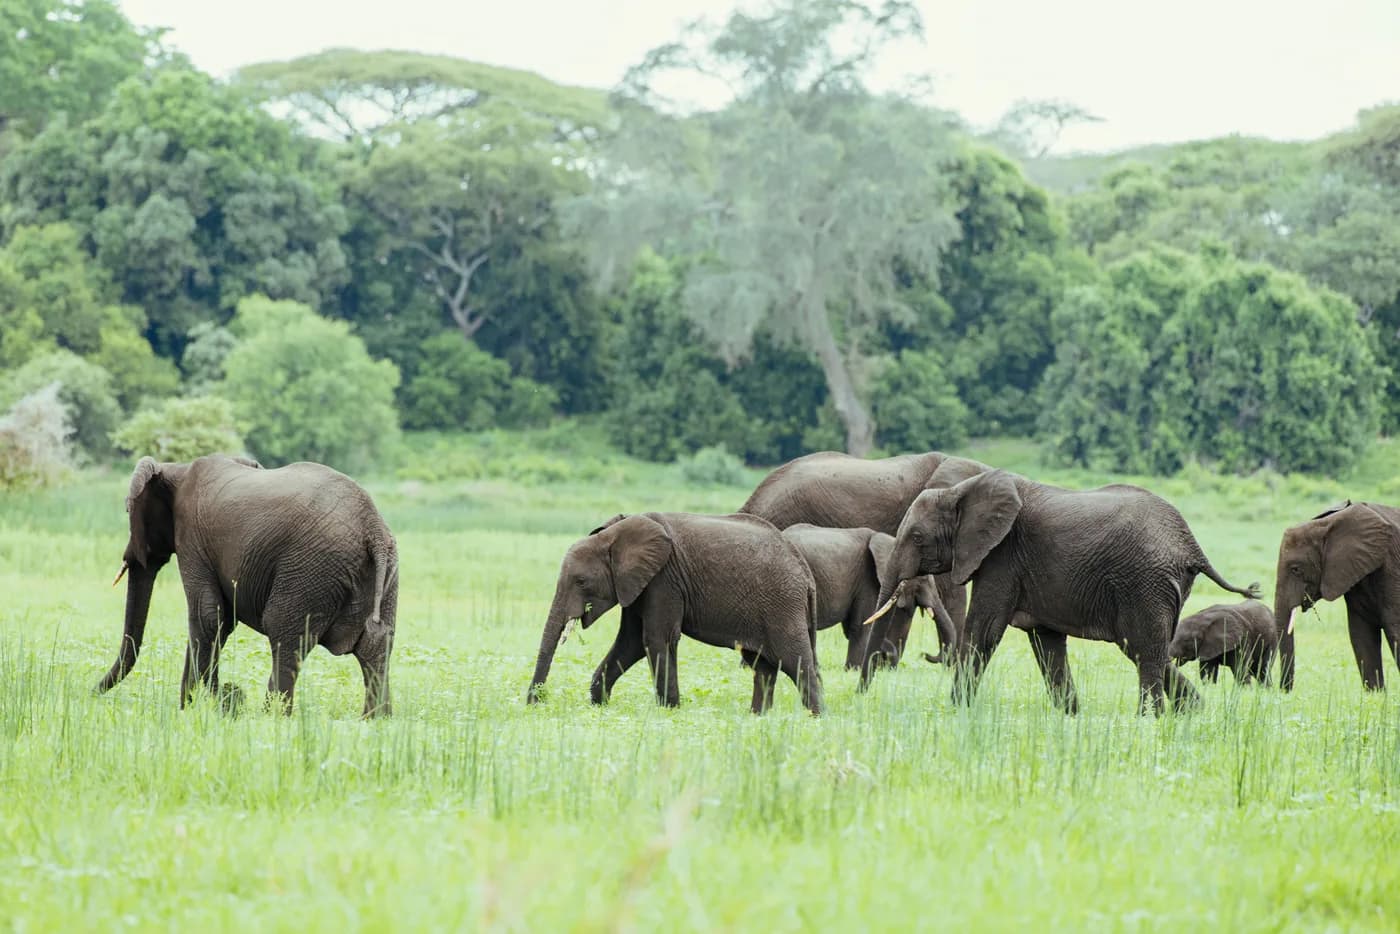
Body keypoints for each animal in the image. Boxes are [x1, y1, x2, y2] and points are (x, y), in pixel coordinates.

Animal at [95, 454, 398, 717]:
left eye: (128, 510)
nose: (91, 692)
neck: (176, 468)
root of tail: (372, 527)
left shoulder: (192, 538)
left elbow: (208, 618)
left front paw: (199, 709)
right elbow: (217, 621)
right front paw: (196, 708)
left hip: (312, 569)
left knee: (284, 635)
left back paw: (273, 718)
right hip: (383, 572)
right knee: (376, 644)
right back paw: (375, 720)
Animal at [527, 512, 823, 715]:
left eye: (580, 582)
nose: (536, 702)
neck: (615, 534)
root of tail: (806, 574)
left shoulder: (663, 579)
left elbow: (656, 639)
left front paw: (669, 711)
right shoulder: (639, 584)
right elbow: (630, 643)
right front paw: (599, 706)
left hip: (782, 606)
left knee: (796, 662)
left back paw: (817, 718)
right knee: (763, 667)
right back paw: (758, 717)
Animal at [778, 524, 953, 679]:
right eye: (923, 580)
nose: (924, 654)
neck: (892, 542)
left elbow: (853, 629)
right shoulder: (867, 580)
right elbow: (862, 627)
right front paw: (854, 670)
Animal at [875, 469, 1259, 714]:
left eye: (917, 538)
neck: (961, 491)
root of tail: (1192, 546)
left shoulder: (1002, 557)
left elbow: (985, 630)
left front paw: (957, 708)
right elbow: (1046, 641)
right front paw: (1070, 714)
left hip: (1144, 582)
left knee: (1143, 649)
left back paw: (1150, 718)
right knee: (1147, 648)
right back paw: (1193, 711)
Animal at [1274, 500, 1400, 691]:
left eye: (1295, 569)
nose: (1284, 692)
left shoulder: (1392, 568)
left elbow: (1395, 630)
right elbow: (1361, 636)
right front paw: (1376, 696)